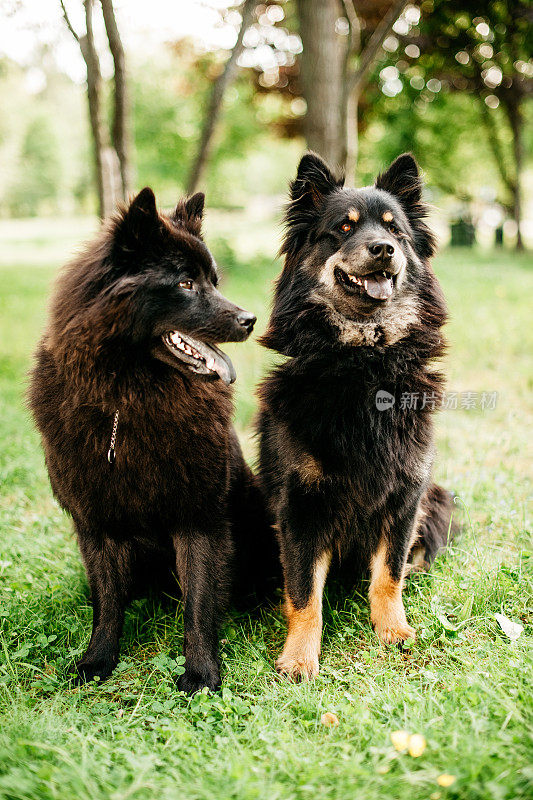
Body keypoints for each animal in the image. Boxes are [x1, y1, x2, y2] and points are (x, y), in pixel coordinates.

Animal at [256, 153, 454, 680]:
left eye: (394, 229)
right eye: (343, 229)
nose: (383, 249)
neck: (365, 365)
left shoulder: (407, 493)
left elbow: (387, 573)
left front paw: (393, 630)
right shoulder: (299, 506)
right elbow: (304, 592)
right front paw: (299, 656)